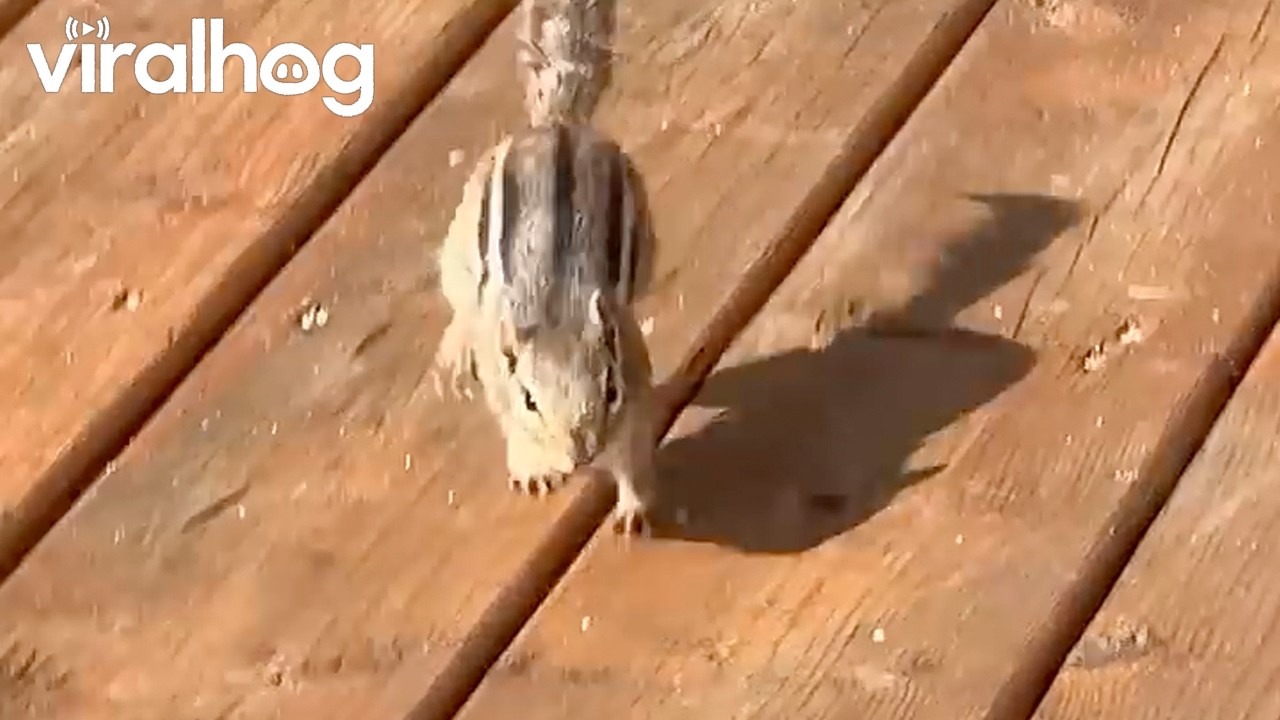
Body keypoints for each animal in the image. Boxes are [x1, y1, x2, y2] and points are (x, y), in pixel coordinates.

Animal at [433, 0, 657, 535]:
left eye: (611, 389)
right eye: (531, 400)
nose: (582, 456)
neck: (556, 309)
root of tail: (557, 126)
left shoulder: (635, 382)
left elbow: (635, 452)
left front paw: (633, 506)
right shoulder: (502, 380)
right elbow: (509, 423)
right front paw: (532, 466)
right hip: (460, 245)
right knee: (460, 302)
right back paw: (454, 354)